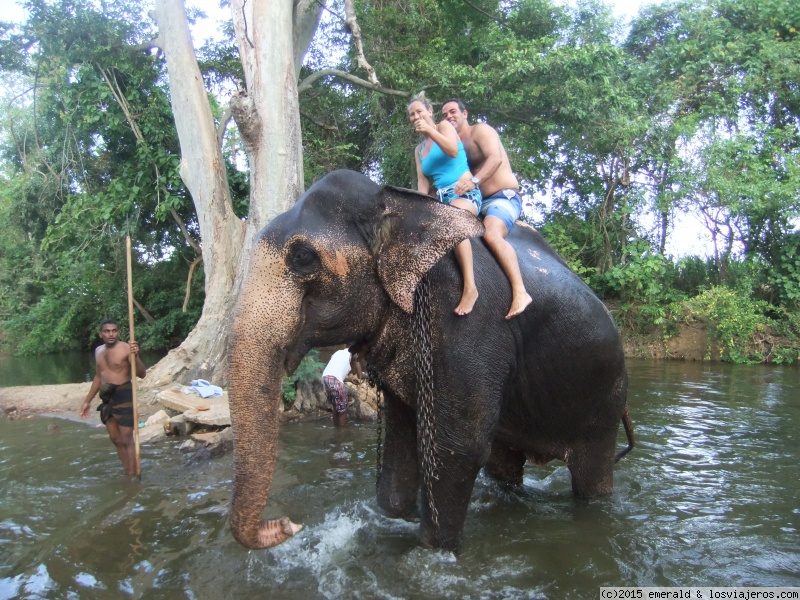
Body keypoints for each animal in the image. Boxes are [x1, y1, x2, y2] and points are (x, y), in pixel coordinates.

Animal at [228, 168, 636, 552]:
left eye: (302, 257)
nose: (288, 525)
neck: (401, 205)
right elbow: (402, 434)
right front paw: (392, 517)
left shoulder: (467, 321)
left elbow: (456, 447)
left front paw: (430, 553)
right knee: (504, 463)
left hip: (605, 395)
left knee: (591, 474)